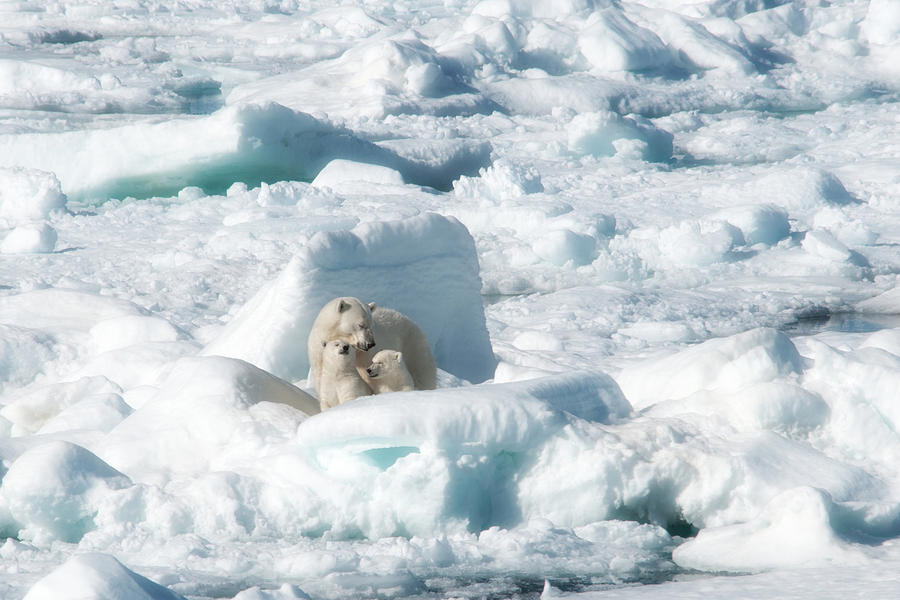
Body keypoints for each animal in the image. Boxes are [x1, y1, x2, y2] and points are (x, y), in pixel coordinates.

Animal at [308, 296, 438, 394]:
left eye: (371, 324)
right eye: (361, 324)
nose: (371, 344)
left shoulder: (365, 357)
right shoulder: (318, 352)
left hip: (413, 346)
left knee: (423, 373)